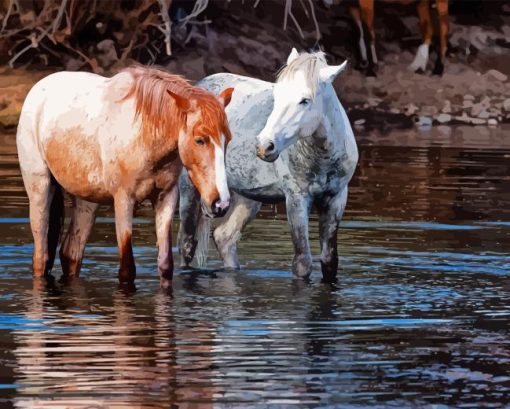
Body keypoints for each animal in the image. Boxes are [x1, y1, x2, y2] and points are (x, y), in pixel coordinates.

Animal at [15, 65, 235, 286]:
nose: (221, 203)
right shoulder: (123, 200)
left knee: (71, 253)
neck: (145, 135)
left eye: (228, 139)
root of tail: (38, 89)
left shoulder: (166, 197)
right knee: (41, 257)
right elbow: (127, 269)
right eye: (200, 140)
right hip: (40, 189)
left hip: (86, 202)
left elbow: (165, 265)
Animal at [179, 48, 358, 280]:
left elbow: (329, 261)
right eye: (277, 96)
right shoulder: (297, 199)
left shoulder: (336, 199)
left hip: (248, 198)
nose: (264, 146)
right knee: (187, 245)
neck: (323, 159)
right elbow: (302, 262)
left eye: (305, 100)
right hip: (189, 189)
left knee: (224, 237)